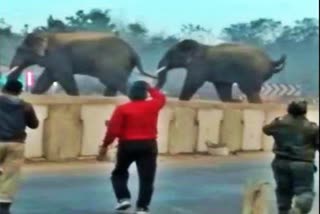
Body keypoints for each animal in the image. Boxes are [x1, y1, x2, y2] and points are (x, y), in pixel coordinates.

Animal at [7, 31, 158, 95]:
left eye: (19, 50)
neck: (46, 34)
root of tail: (133, 51)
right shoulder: (54, 62)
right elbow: (46, 79)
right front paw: (35, 94)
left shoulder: (59, 57)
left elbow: (64, 77)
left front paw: (75, 96)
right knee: (114, 84)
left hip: (113, 64)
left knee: (114, 81)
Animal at [156, 40, 286, 103]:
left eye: (170, 54)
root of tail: (271, 62)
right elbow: (222, 86)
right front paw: (231, 101)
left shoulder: (198, 66)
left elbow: (193, 82)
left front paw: (182, 100)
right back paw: (237, 101)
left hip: (251, 75)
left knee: (249, 90)